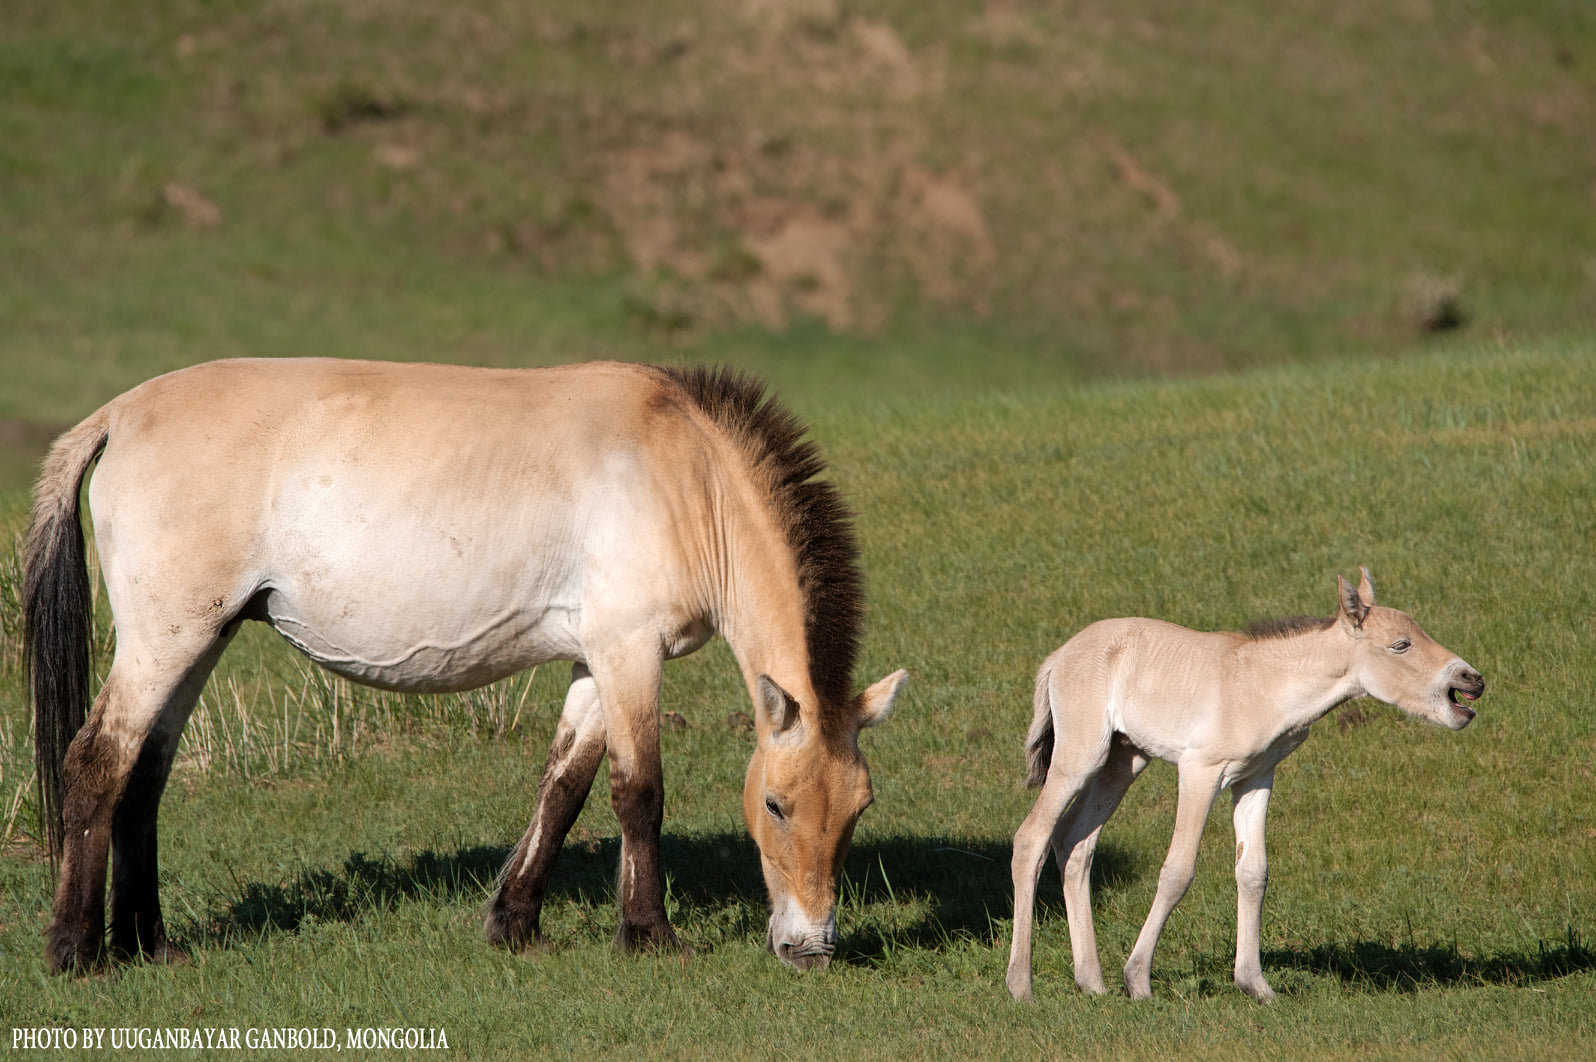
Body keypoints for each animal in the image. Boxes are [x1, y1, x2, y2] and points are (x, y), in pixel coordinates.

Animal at [24, 358, 907, 975]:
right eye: (776, 805)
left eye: (858, 808)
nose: (811, 948)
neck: (689, 477)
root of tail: (117, 416)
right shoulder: (630, 653)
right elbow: (638, 794)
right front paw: (650, 934)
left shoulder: (595, 662)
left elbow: (564, 786)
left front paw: (514, 924)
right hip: (163, 640)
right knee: (96, 761)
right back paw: (77, 951)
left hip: (199, 640)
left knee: (145, 775)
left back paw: (150, 944)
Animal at [1005, 569, 1483, 1002]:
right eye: (1401, 645)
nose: (1472, 679)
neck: (1266, 684)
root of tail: (1058, 656)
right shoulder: (1199, 771)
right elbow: (1177, 871)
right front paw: (1138, 980)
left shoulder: (1255, 778)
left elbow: (1253, 872)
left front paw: (1256, 985)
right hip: (1081, 755)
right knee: (1032, 836)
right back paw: (1021, 985)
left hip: (1124, 761)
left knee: (1074, 842)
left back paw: (1091, 982)